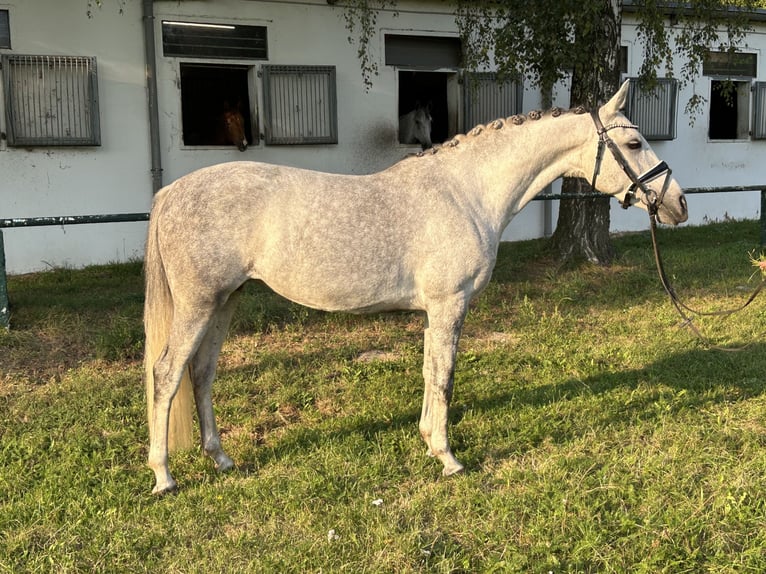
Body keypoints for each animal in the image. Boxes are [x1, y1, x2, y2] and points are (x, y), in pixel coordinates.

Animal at [144, 81, 688, 496]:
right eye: (635, 144)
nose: (678, 203)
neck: (466, 192)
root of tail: (170, 192)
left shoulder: (434, 310)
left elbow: (430, 373)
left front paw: (429, 442)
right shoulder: (450, 305)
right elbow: (445, 377)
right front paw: (449, 458)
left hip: (224, 302)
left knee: (202, 374)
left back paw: (221, 459)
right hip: (199, 304)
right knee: (167, 374)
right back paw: (164, 477)